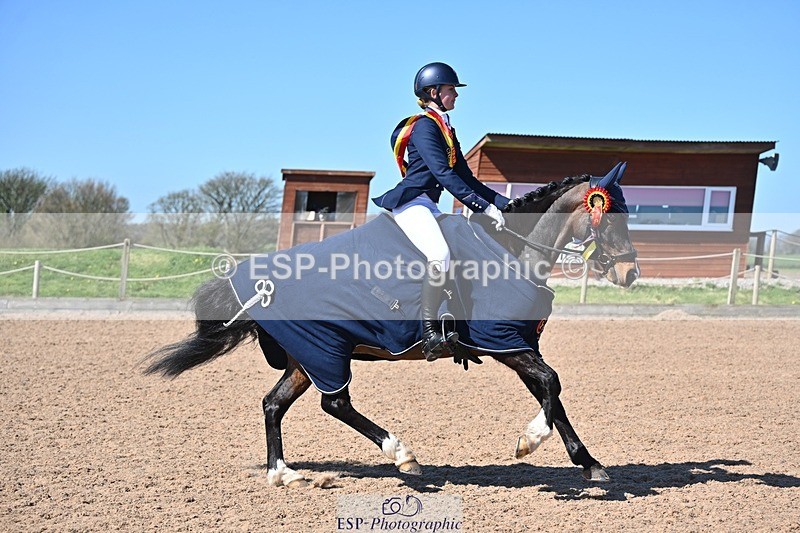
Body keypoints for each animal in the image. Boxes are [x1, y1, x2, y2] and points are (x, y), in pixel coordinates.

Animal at [144, 162, 639, 488]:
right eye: (612, 215)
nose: (630, 273)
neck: (511, 250)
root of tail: (260, 282)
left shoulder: (517, 346)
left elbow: (551, 394)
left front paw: (588, 462)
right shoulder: (504, 343)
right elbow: (552, 385)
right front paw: (529, 442)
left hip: (306, 357)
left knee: (275, 404)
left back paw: (283, 473)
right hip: (325, 351)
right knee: (334, 403)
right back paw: (402, 454)